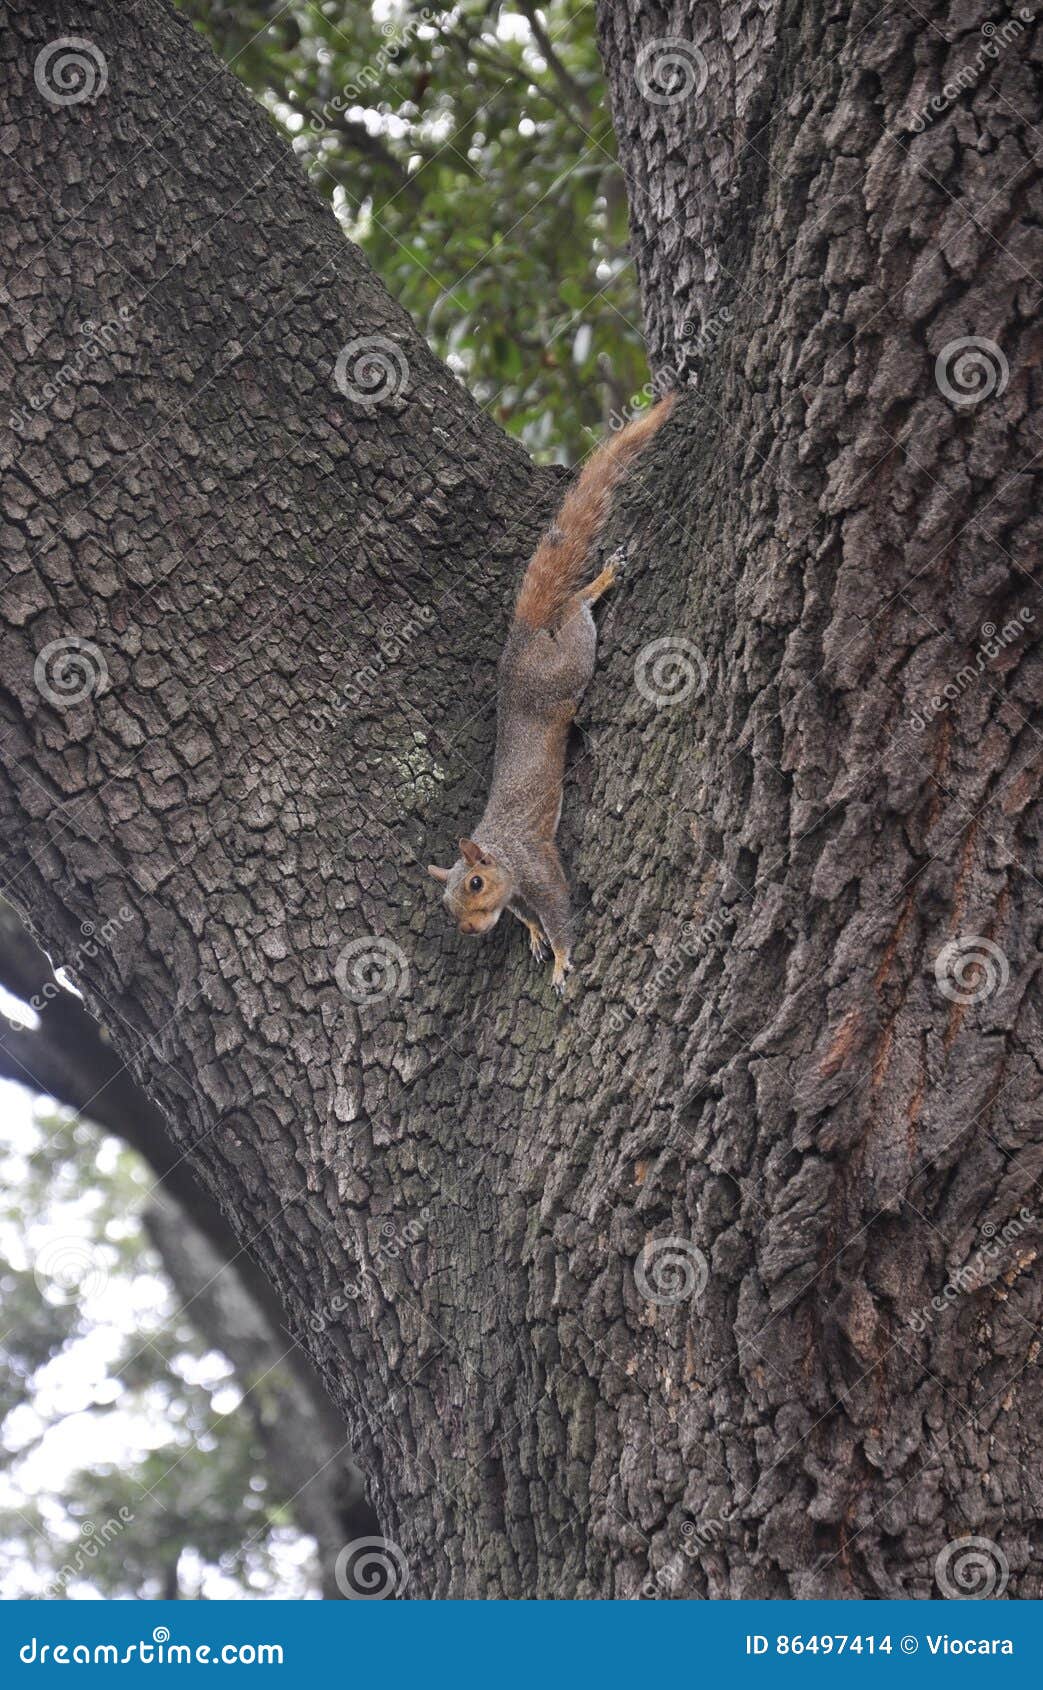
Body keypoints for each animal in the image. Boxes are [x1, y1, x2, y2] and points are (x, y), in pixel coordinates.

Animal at [427, 393, 675, 994]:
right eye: (446, 905)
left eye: (473, 884)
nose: (470, 931)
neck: (503, 861)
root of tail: (519, 647)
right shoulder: (519, 896)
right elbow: (528, 917)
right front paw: (535, 937)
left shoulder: (537, 867)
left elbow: (560, 909)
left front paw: (561, 957)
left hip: (565, 668)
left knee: (575, 614)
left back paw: (598, 584)